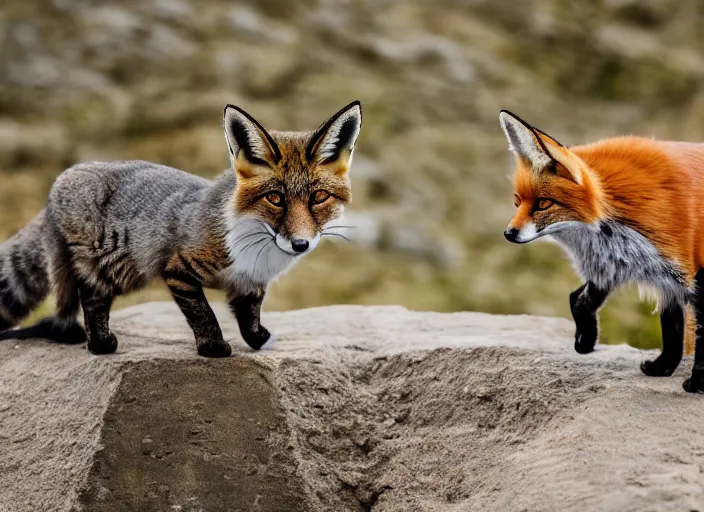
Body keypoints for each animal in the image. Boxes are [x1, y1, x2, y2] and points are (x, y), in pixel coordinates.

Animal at [498, 110, 704, 394]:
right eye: (517, 202)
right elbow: (669, 328)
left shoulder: (688, 271)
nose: (508, 233)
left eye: (543, 204)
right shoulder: (649, 272)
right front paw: (660, 368)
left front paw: (696, 383)